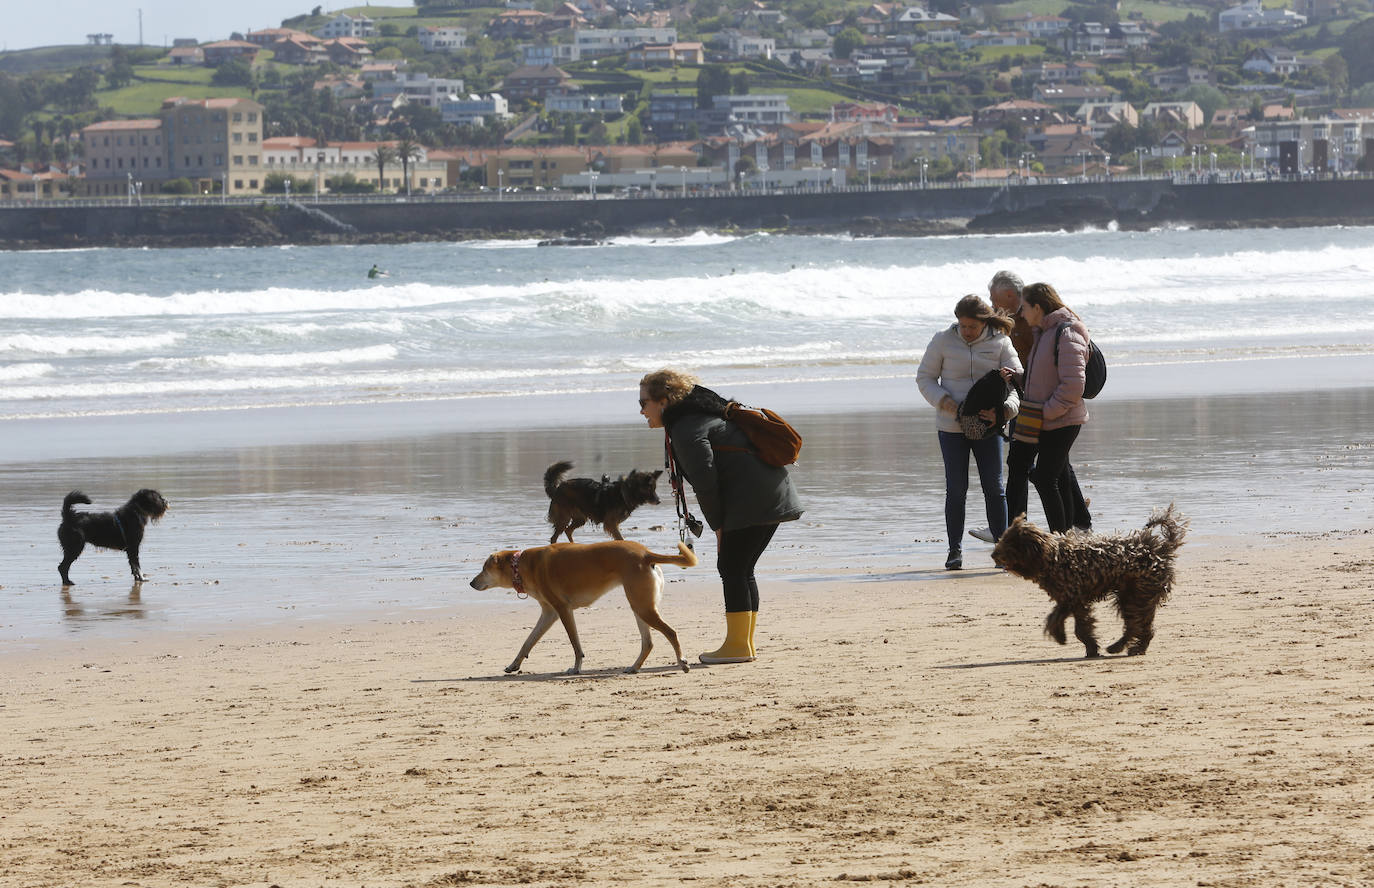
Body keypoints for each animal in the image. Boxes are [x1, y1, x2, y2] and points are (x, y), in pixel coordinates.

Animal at [472, 538, 697, 679]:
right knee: (648, 643)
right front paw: (514, 664)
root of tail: (645, 554)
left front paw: (576, 668)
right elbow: (528, 641)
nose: (471, 583)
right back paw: (634, 667)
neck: (522, 565)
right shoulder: (549, 613)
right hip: (639, 606)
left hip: (642, 607)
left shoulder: (563, 610)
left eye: (484, 569)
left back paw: (682, 662)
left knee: (671, 632)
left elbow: (575, 645)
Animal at [994, 505, 1187, 657]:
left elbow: (1061, 620)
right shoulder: (1073, 601)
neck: (1054, 558)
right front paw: (1090, 647)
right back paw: (1119, 647)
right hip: (1130, 596)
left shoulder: (1072, 597)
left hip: (1138, 595)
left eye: (1010, 542)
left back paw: (1133, 648)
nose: (993, 555)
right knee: (1136, 626)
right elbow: (1079, 626)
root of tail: (1161, 548)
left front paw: (1061, 636)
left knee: (1140, 626)